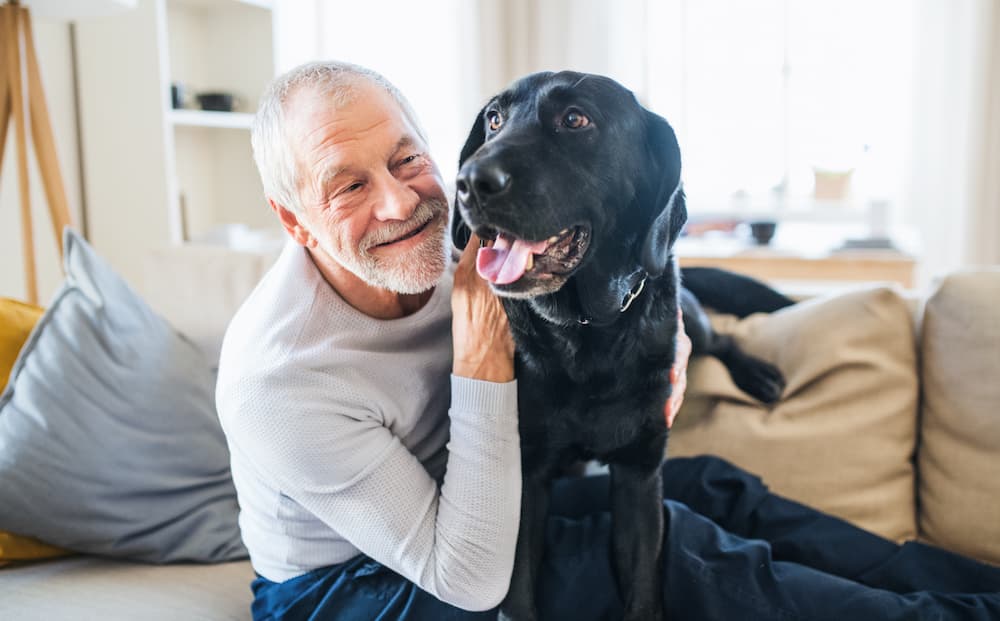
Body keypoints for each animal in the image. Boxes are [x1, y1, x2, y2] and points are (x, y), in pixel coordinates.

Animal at [452, 70, 788, 616]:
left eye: (575, 119)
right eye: (495, 119)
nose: (468, 182)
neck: (584, 329)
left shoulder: (639, 473)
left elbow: (643, 588)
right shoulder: (526, 474)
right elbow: (518, 589)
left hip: (690, 320)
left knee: (721, 337)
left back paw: (759, 374)